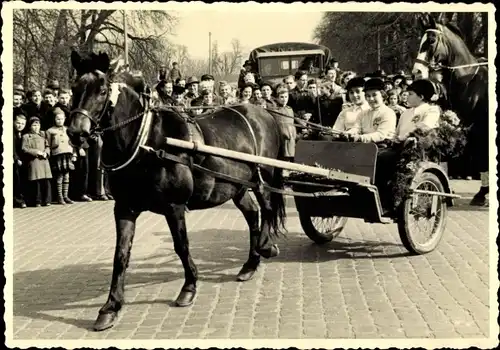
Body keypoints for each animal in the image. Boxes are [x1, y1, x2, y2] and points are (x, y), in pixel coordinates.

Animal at [65, 50, 288, 330]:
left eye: (102, 90)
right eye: (75, 88)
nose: (76, 132)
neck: (148, 142)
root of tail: (263, 113)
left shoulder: (174, 206)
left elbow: (181, 245)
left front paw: (189, 287)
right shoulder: (124, 208)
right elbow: (121, 255)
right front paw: (111, 306)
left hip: (263, 178)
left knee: (267, 209)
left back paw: (265, 247)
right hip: (237, 186)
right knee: (252, 214)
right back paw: (250, 264)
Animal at [412, 13, 490, 205]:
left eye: (431, 40)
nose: (416, 72)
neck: (470, 83)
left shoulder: (478, 128)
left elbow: (482, 159)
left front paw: (481, 194)